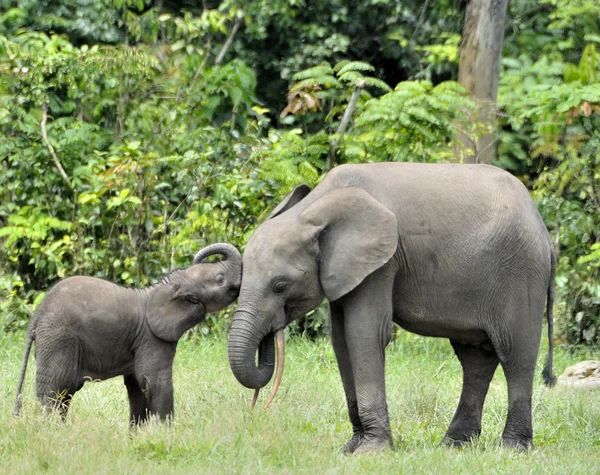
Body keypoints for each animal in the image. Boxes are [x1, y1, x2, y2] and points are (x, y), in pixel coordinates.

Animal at [12, 244, 241, 426]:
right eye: (219, 279)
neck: (163, 288)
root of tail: (37, 315)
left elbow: (138, 387)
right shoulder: (152, 338)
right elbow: (155, 381)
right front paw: (164, 435)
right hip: (58, 338)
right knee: (55, 391)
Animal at [227, 163, 556, 454]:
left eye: (280, 286)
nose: (257, 408)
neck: (315, 208)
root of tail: (545, 232)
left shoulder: (382, 264)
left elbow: (364, 334)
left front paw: (371, 451)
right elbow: (341, 341)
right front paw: (350, 448)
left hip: (521, 273)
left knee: (515, 353)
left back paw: (513, 448)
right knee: (475, 359)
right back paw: (454, 445)